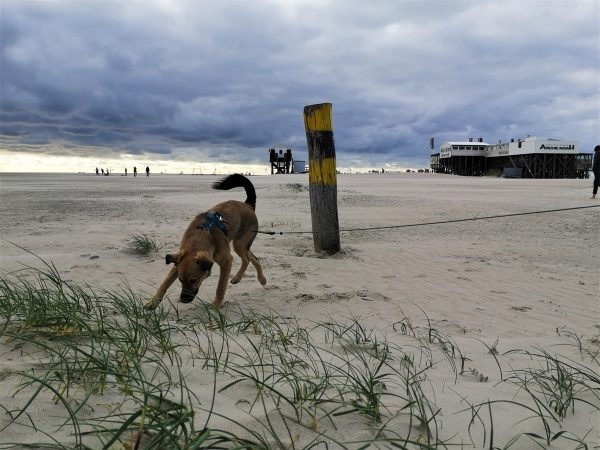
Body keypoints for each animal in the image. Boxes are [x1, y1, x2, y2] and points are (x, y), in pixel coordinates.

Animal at [144, 174, 267, 310]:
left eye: (194, 280)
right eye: (180, 279)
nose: (184, 300)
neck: (201, 235)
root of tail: (248, 205)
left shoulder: (226, 261)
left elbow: (220, 287)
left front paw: (216, 305)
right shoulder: (178, 262)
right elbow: (164, 284)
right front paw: (153, 302)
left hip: (240, 243)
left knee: (247, 258)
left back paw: (248, 278)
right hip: (240, 244)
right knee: (253, 258)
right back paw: (257, 279)